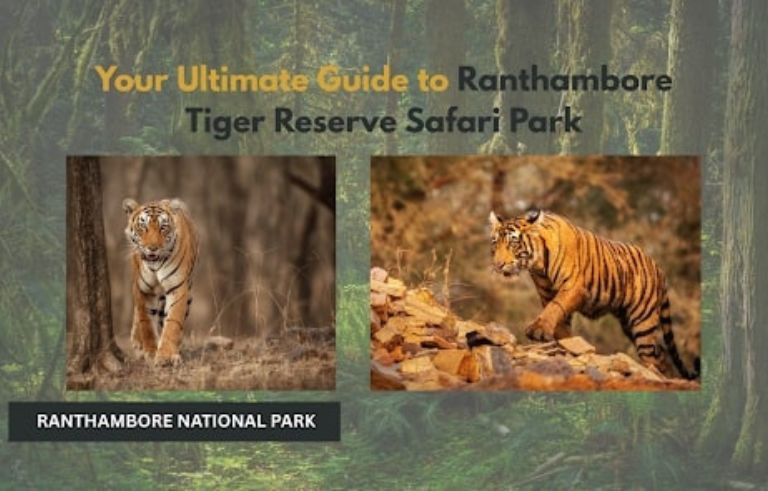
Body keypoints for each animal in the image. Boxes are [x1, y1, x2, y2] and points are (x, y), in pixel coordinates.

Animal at [123, 198, 199, 366]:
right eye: (142, 227)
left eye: (163, 227)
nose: (152, 248)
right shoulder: (143, 289)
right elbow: (146, 322)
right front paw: (150, 352)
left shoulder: (178, 287)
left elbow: (173, 321)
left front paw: (166, 355)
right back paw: (137, 341)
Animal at [489, 209, 699, 380]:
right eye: (495, 244)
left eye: (513, 243)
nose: (498, 265)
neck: (538, 263)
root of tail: (659, 269)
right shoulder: (547, 293)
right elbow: (559, 320)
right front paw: (565, 344)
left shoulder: (573, 286)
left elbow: (555, 308)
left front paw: (538, 331)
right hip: (629, 323)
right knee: (661, 354)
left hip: (643, 321)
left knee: (652, 357)